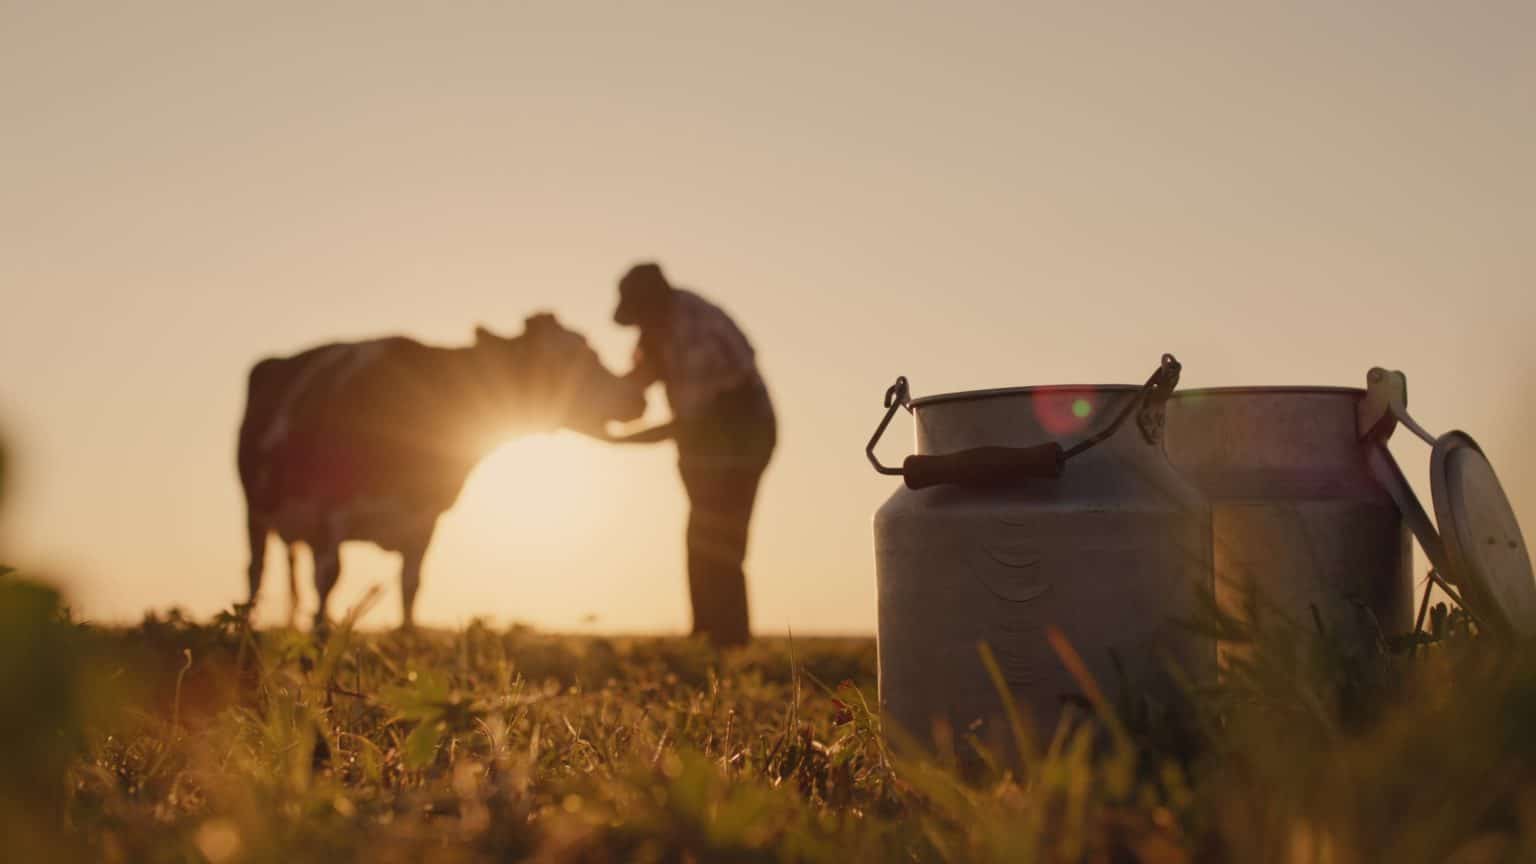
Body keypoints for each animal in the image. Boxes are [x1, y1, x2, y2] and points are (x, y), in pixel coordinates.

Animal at [236, 312, 645, 630]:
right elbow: (328, 582)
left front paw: (407, 643)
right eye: (563, 359)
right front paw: (318, 647)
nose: (635, 395)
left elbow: (410, 588)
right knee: (255, 572)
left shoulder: (424, 519)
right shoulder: (329, 511)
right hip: (255, 510)